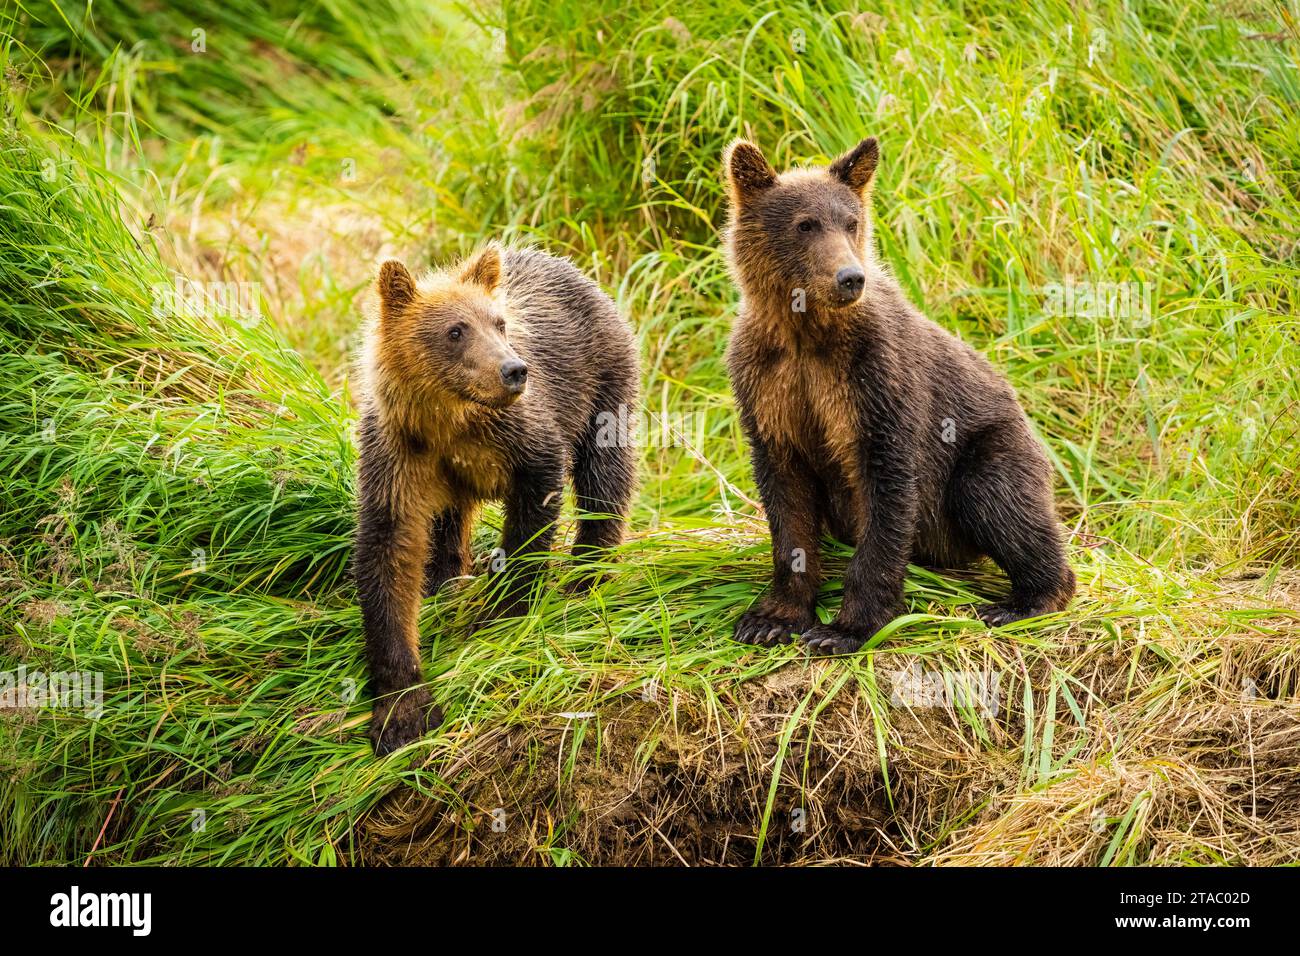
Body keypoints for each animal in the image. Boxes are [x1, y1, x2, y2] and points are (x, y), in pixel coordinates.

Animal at [356, 244, 639, 754]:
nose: (514, 370)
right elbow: (390, 553)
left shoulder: (520, 435)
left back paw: (587, 572)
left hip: (603, 381)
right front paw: (403, 711)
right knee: (448, 521)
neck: (450, 419)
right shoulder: (399, 455)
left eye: (499, 323)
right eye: (455, 330)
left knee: (604, 475)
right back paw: (445, 579)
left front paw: (505, 609)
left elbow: (534, 505)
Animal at [722, 138, 1076, 655]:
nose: (850, 277)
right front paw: (771, 618)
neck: (806, 334)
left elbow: (886, 494)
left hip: (990, 446)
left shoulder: (875, 380)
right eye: (805, 224)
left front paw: (843, 629)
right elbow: (787, 501)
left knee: (1000, 500)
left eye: (851, 221)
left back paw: (1023, 601)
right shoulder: (769, 386)